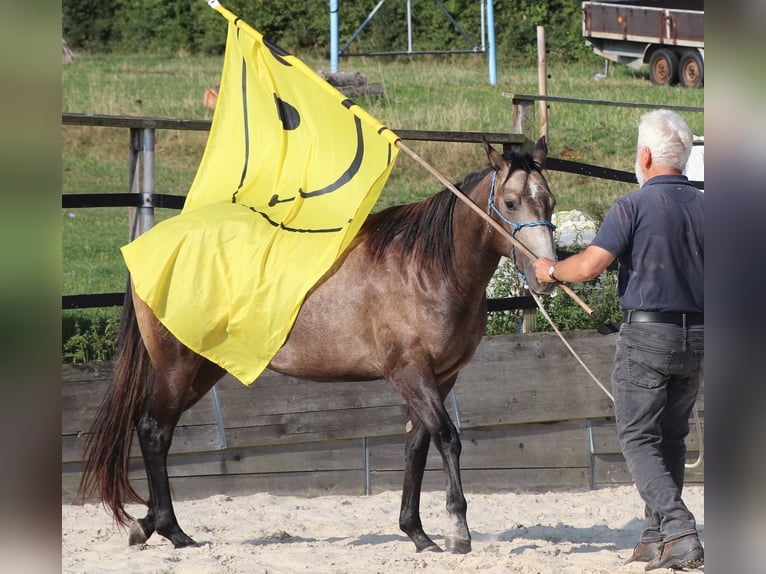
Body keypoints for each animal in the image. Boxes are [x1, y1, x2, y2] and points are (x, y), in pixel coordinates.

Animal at [78, 137, 560, 556]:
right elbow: (447, 438)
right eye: (511, 203)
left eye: (550, 201)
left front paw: (418, 534)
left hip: (203, 369)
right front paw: (458, 531)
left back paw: (147, 525)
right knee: (154, 432)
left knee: (155, 430)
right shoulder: (411, 372)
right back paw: (174, 532)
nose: (546, 274)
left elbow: (416, 446)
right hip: (177, 367)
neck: (425, 267)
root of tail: (150, 247)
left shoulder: (441, 377)